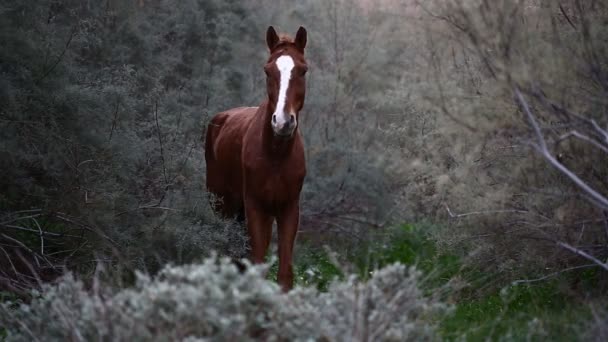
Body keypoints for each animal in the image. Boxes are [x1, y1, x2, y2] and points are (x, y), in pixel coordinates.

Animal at [205, 26, 308, 292]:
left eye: (303, 70)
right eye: (267, 70)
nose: (283, 122)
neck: (275, 156)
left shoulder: (288, 209)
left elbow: (284, 275)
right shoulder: (255, 207)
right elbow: (257, 265)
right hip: (222, 205)